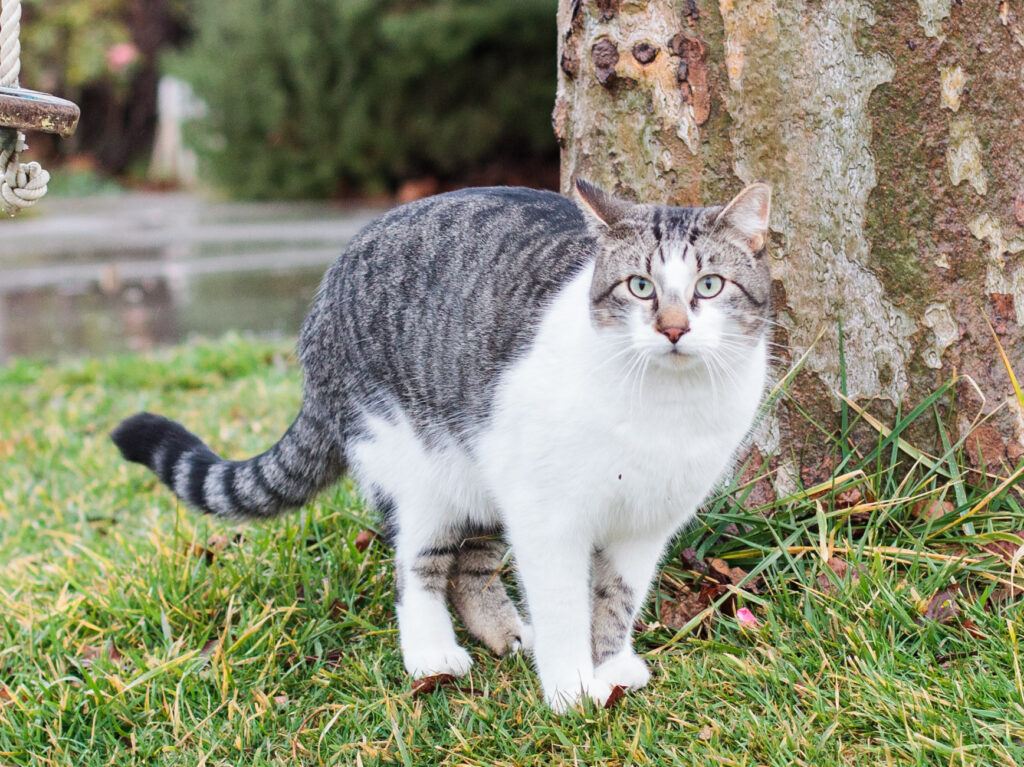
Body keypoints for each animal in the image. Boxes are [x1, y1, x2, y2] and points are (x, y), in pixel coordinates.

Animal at [110, 179, 770, 712]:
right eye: (639, 287)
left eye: (710, 286)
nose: (674, 329)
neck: (666, 407)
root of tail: (327, 288)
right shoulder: (549, 514)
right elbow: (564, 605)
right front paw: (570, 691)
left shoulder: (646, 524)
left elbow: (617, 600)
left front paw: (608, 668)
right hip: (415, 466)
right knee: (418, 568)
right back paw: (432, 653)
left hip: (484, 471)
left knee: (470, 567)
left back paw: (506, 632)